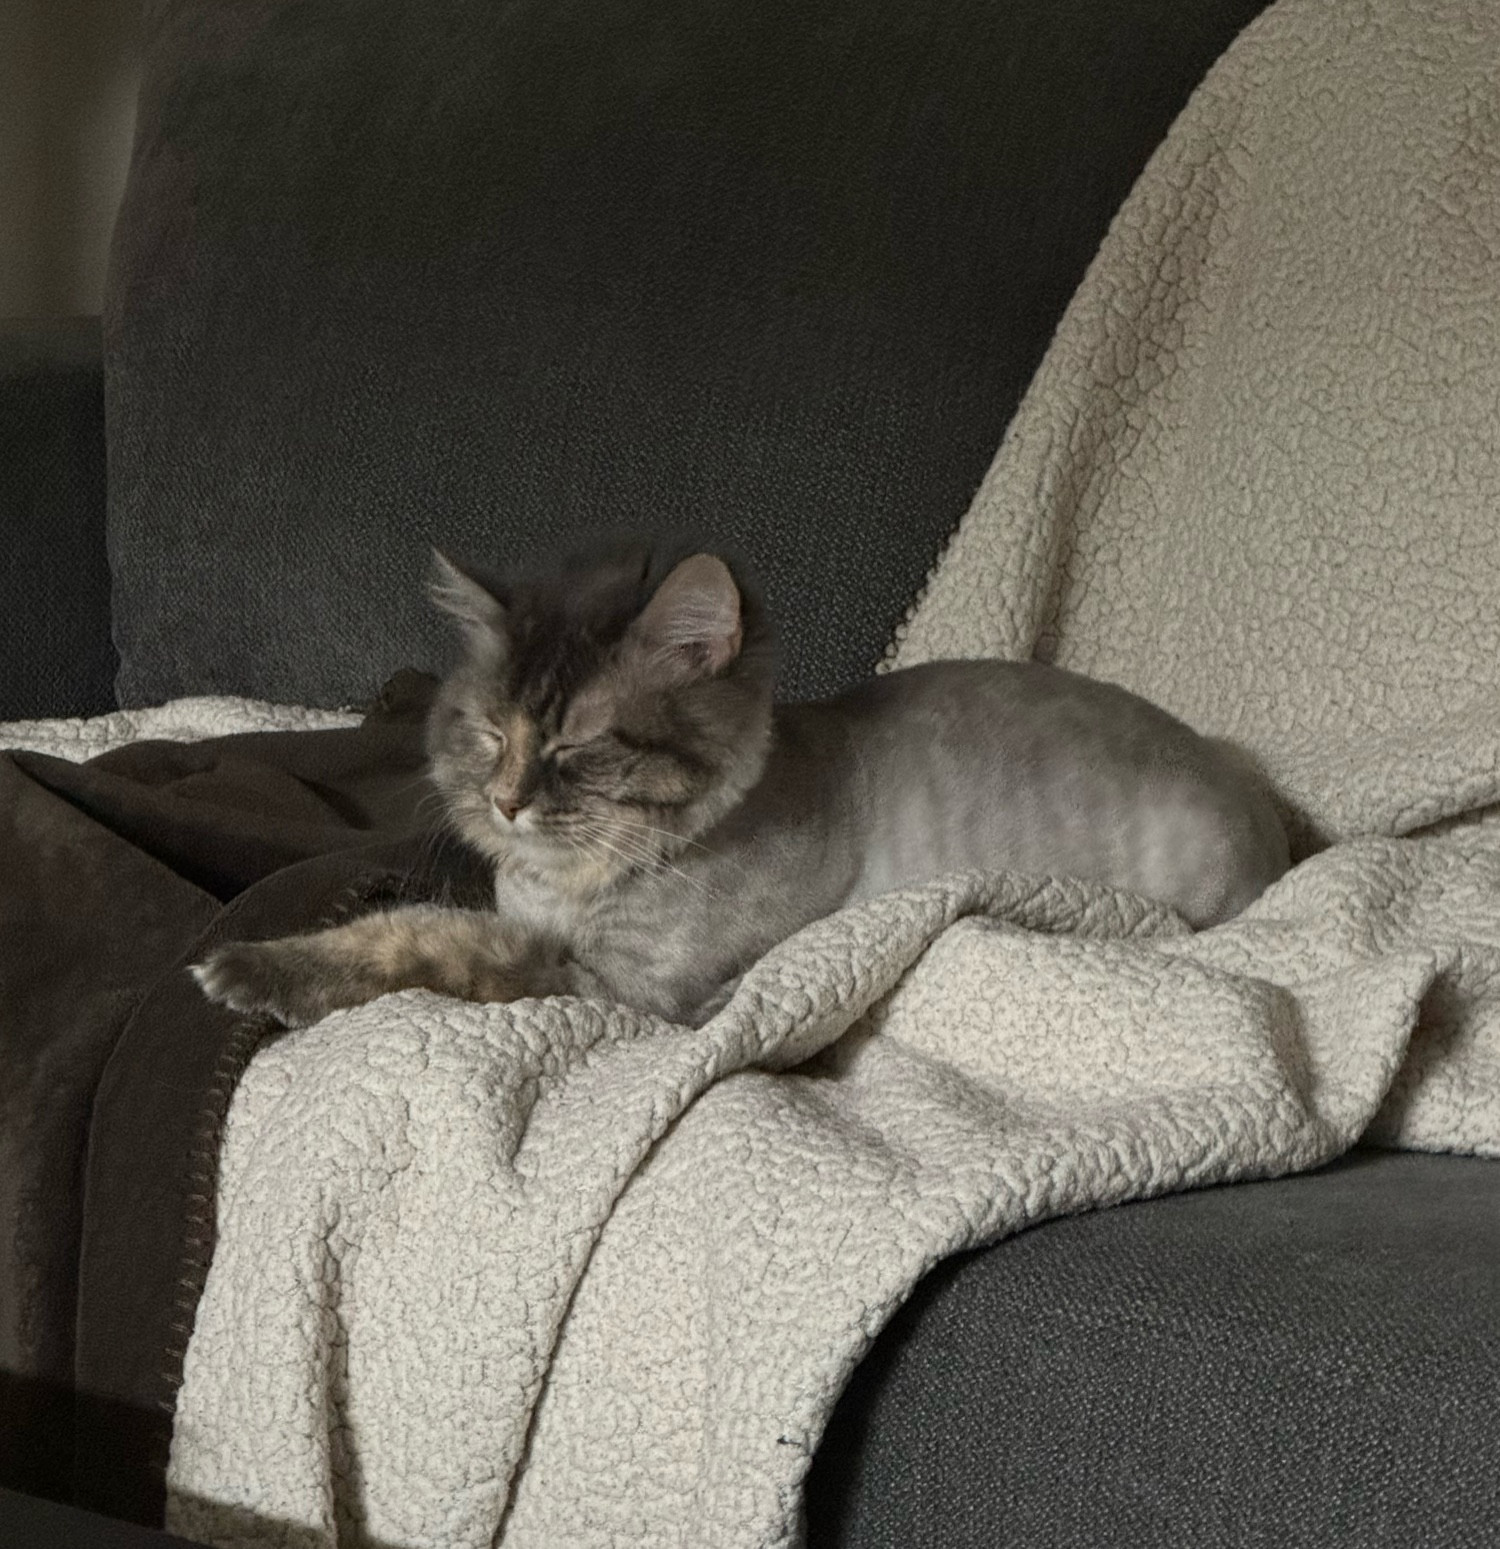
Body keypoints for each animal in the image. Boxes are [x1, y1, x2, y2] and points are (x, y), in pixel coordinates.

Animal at [190, 545, 1289, 1028]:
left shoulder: (621, 988)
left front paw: (251, 970)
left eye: (576, 746)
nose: (505, 800)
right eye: (489, 732)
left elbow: (420, 939)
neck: (566, 888)